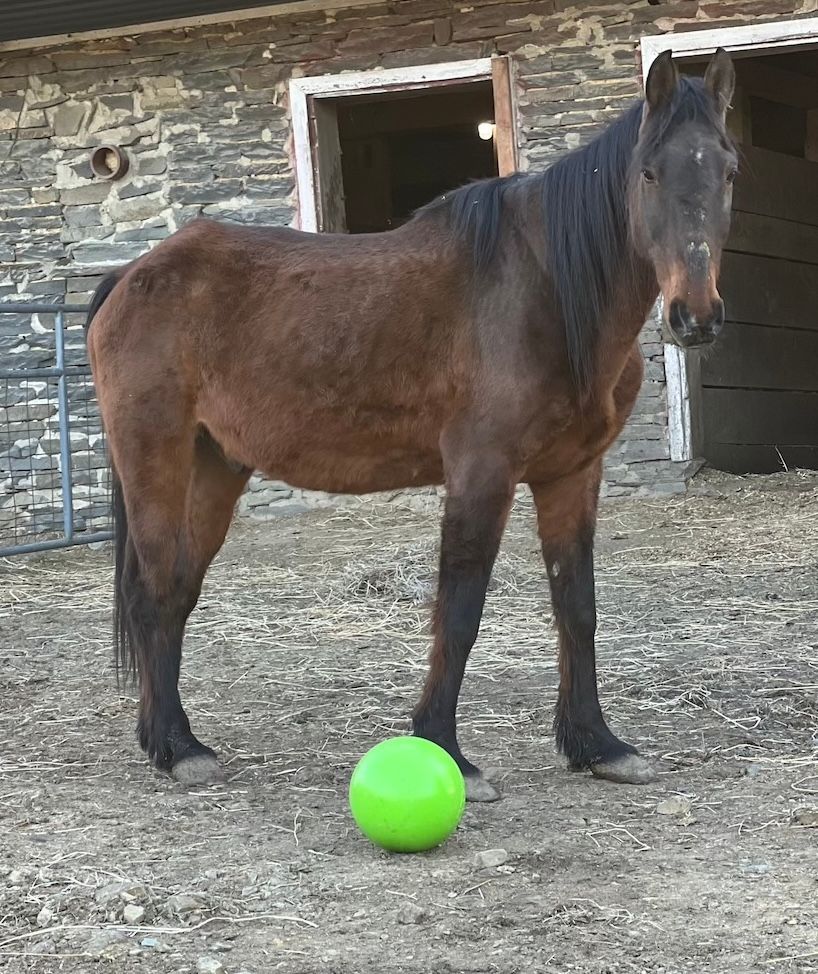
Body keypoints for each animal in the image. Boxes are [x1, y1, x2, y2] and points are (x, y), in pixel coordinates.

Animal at [86, 49, 737, 801]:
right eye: (650, 172)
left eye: (728, 170)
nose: (697, 316)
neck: (542, 289)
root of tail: (132, 275)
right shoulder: (482, 472)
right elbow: (459, 608)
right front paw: (447, 751)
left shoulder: (572, 475)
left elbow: (577, 607)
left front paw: (596, 745)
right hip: (156, 459)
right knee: (152, 590)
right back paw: (174, 747)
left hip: (215, 466)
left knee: (178, 591)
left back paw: (172, 740)